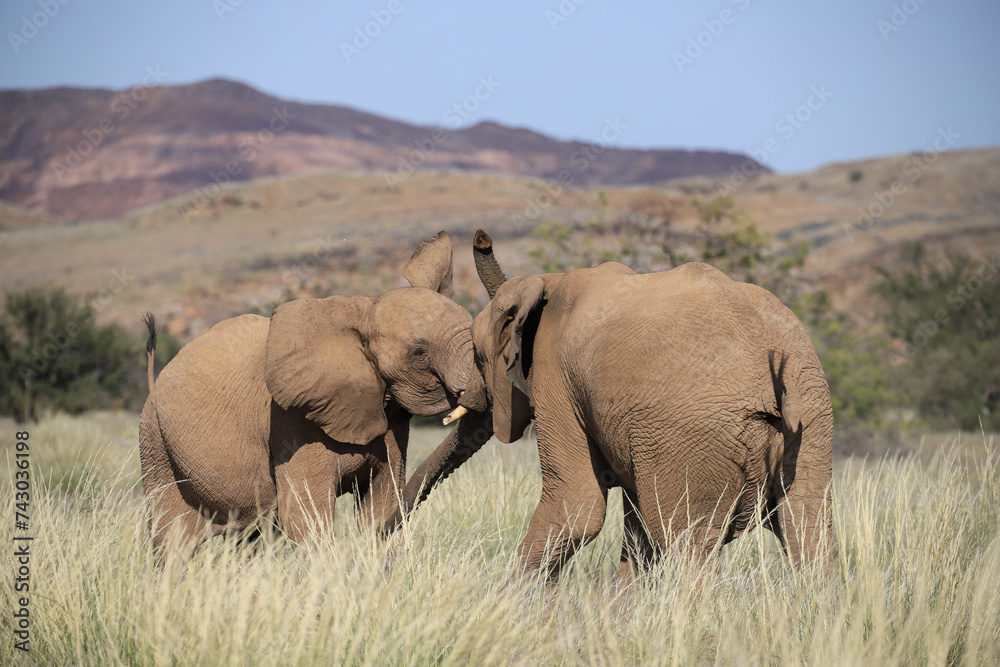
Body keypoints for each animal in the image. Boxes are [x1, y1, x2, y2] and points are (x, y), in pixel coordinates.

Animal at [138, 231, 482, 552]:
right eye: (419, 352)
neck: (365, 306)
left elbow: (380, 501)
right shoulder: (292, 421)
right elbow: (306, 516)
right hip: (156, 445)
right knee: (171, 539)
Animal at [405, 230, 833, 580]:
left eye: (478, 357)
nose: (481, 238)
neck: (548, 282)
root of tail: (772, 366)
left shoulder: (555, 378)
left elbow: (577, 506)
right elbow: (635, 526)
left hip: (694, 436)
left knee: (687, 545)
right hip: (812, 421)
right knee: (807, 529)